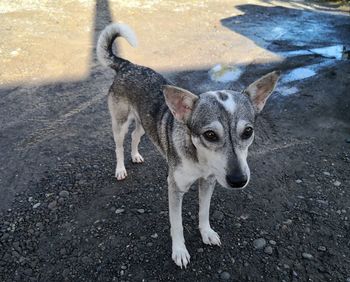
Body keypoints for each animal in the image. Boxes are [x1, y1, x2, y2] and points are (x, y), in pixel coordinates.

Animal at [97, 23, 280, 268]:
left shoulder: (208, 182)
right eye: (210, 135)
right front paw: (179, 251)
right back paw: (120, 169)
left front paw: (207, 233)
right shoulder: (175, 188)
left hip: (144, 123)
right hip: (120, 123)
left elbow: (204, 211)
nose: (238, 180)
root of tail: (128, 65)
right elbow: (177, 225)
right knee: (118, 145)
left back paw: (135, 155)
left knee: (136, 136)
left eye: (248, 132)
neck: (199, 159)